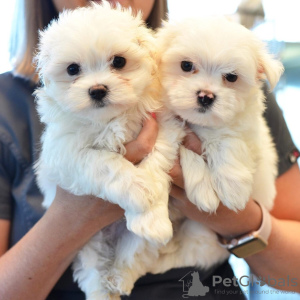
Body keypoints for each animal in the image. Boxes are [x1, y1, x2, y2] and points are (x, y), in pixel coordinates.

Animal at [34, 2, 182, 300]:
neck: (111, 119)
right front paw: (138, 189)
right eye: (72, 69)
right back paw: (104, 289)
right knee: (92, 271)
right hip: (86, 241)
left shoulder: (163, 126)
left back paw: (121, 276)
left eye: (119, 62)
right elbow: (104, 161)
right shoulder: (66, 152)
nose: (98, 90)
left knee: (134, 252)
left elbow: (156, 160)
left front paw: (152, 213)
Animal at [152, 17, 284, 272]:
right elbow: (185, 146)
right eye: (186, 65)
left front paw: (233, 189)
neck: (200, 123)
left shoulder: (249, 133)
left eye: (231, 77)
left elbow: (228, 140)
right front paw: (204, 191)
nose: (205, 95)